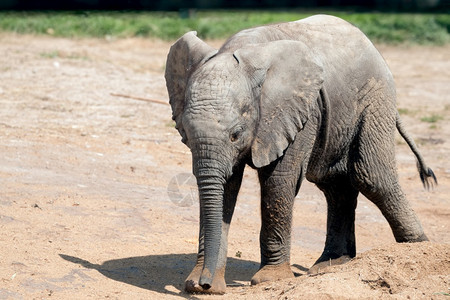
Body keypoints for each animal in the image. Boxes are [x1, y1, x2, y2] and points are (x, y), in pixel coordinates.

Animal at [164, 14, 436, 292]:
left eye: (236, 134)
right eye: (185, 133)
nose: (204, 284)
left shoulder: (299, 112)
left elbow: (278, 182)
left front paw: (270, 279)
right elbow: (227, 186)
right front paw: (200, 285)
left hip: (374, 100)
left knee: (372, 178)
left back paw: (418, 249)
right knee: (336, 186)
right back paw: (331, 265)